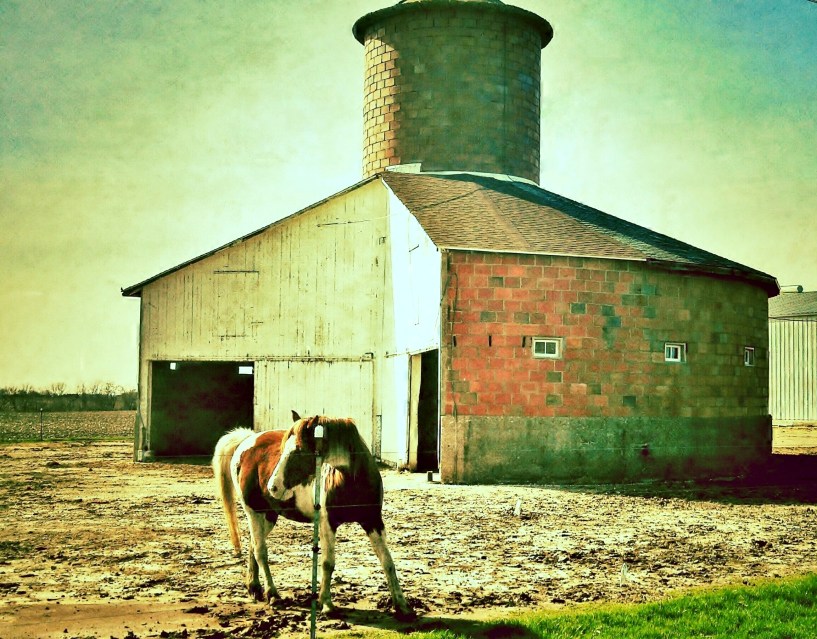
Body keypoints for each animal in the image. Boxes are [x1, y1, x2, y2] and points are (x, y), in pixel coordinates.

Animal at [212, 411, 414, 620]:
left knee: (253, 546)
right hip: (253, 512)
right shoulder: (327, 523)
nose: (273, 487)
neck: (350, 479)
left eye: (299, 450)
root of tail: (247, 441)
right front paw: (327, 604)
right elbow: (328, 563)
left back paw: (254, 588)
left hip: (268, 517)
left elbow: (387, 562)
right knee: (260, 551)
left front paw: (402, 606)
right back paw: (272, 594)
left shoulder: (373, 520)